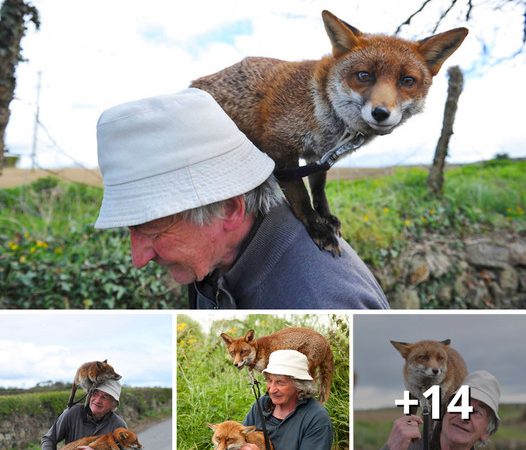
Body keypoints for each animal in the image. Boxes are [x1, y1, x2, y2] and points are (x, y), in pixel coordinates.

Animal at [191, 10, 470, 255]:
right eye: (364, 76)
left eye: (407, 81)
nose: (381, 113)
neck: (321, 106)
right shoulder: (280, 147)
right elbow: (301, 196)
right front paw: (318, 229)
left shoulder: (319, 155)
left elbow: (319, 190)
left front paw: (326, 217)